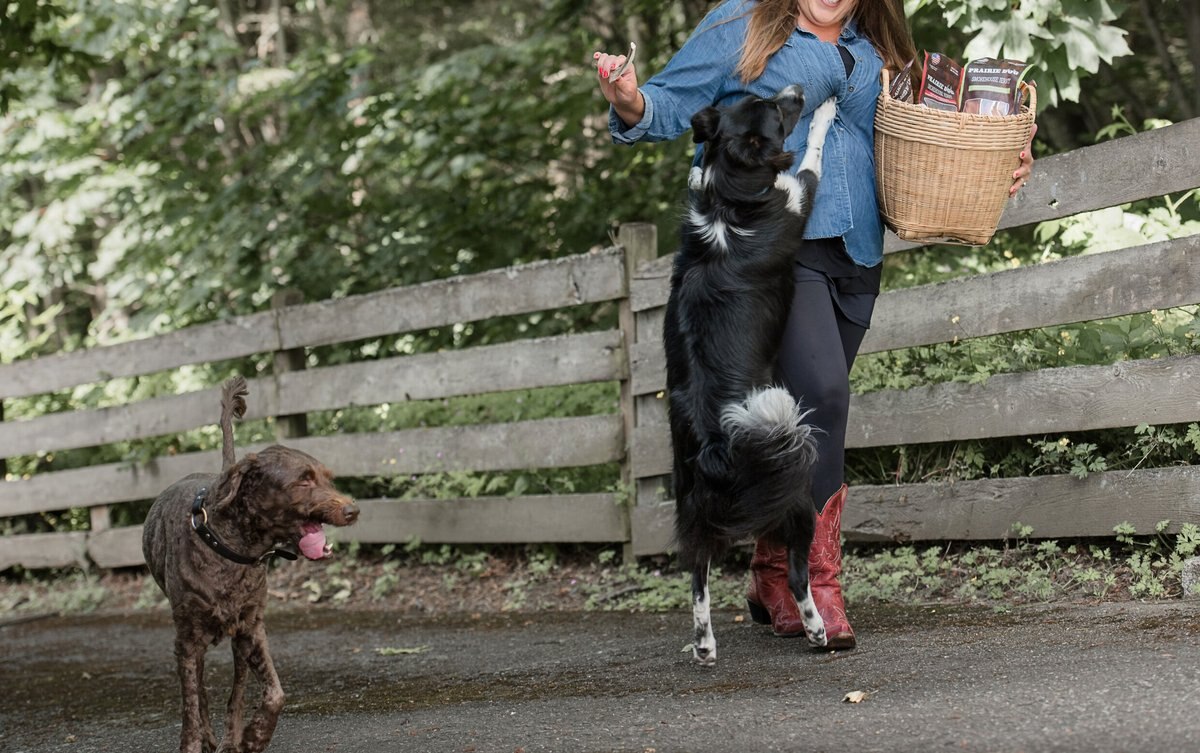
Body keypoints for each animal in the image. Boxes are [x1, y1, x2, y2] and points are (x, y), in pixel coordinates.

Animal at [667, 85, 835, 666]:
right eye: (777, 111)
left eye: (754, 96)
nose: (799, 90)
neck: (731, 196)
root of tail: (718, 442)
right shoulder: (797, 197)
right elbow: (811, 156)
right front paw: (826, 112)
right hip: (797, 498)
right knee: (798, 574)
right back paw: (817, 631)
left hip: (690, 503)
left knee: (697, 572)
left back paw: (704, 644)